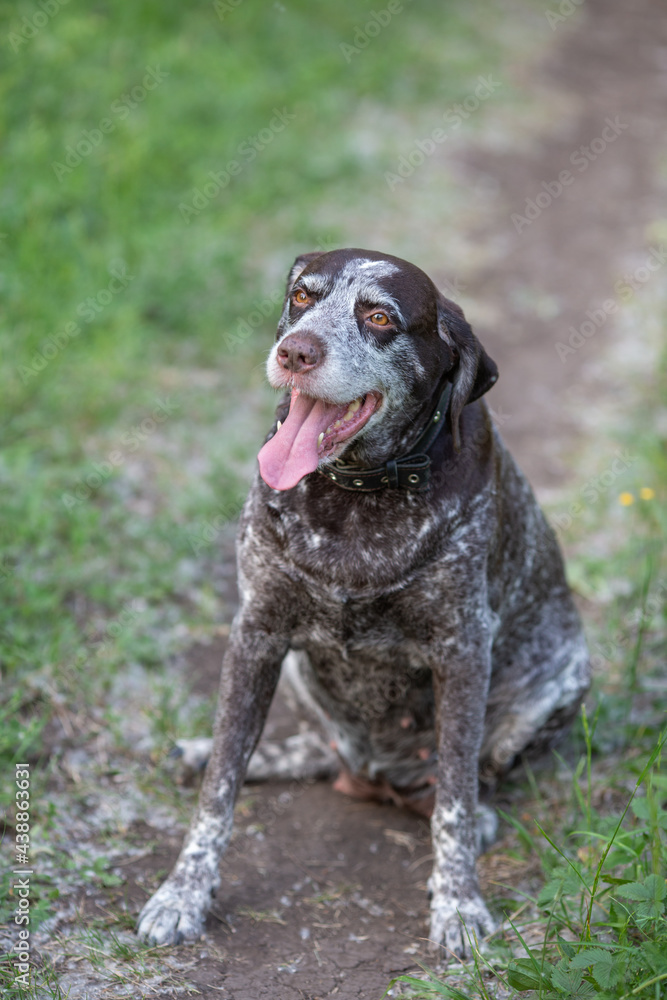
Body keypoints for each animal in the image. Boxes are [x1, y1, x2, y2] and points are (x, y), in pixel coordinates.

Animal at [137, 246, 588, 956]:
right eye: (302, 295)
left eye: (378, 317)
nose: (296, 351)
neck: (356, 492)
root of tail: (374, 775)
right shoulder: (257, 633)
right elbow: (219, 793)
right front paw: (182, 893)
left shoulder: (463, 650)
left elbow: (455, 800)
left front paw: (458, 904)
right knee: (318, 750)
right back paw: (215, 750)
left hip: (562, 681)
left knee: (472, 779)